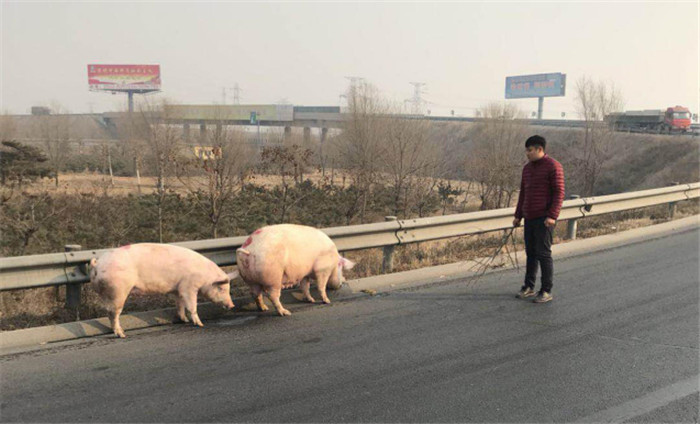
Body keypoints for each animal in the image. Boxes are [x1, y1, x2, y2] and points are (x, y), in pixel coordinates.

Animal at [89, 242, 237, 338]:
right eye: (221, 288)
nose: (232, 305)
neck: (205, 277)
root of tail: (97, 264)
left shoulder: (178, 289)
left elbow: (180, 305)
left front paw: (184, 320)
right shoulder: (188, 287)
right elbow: (191, 305)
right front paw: (200, 324)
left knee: (109, 312)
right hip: (118, 291)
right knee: (113, 313)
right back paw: (122, 335)